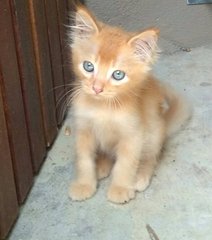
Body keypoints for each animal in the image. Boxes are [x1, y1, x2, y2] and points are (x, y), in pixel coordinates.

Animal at [68, 4, 190, 203]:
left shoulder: (132, 135)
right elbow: (83, 160)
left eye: (118, 74)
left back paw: (140, 177)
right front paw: (84, 185)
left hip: (153, 133)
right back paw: (102, 166)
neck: (104, 108)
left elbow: (125, 165)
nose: (97, 88)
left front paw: (120, 188)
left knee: (150, 157)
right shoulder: (83, 130)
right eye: (88, 66)